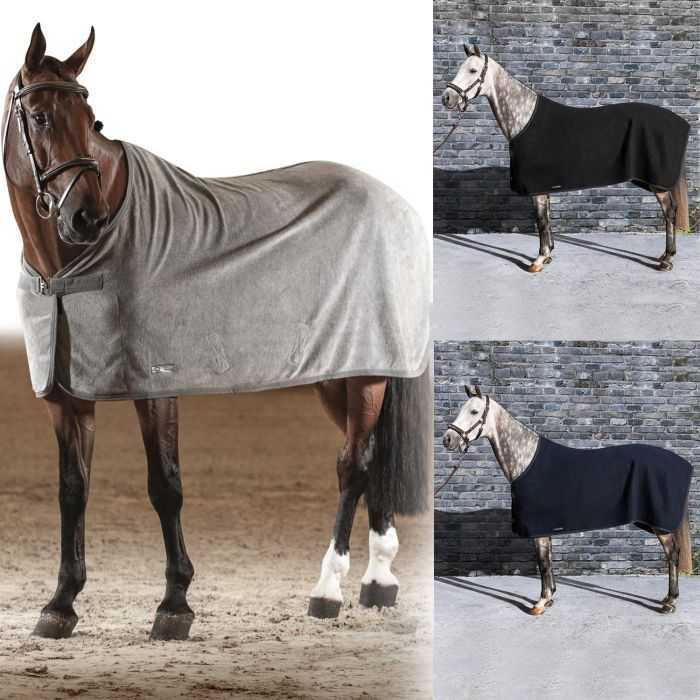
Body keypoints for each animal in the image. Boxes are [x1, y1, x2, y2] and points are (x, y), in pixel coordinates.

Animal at [2, 24, 431, 640]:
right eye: (38, 116)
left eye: (92, 120)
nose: (85, 218)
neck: (67, 268)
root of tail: (401, 206)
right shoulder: (65, 395)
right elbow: (72, 490)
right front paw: (60, 604)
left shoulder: (155, 382)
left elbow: (165, 486)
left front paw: (174, 605)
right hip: (342, 373)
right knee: (370, 456)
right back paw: (379, 582)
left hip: (366, 373)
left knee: (353, 464)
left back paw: (327, 591)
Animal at [440, 44, 690, 273]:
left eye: (472, 70)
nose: (447, 98)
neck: (524, 118)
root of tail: (682, 123)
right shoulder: (544, 186)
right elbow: (548, 219)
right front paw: (549, 255)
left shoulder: (537, 187)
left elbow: (541, 221)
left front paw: (538, 261)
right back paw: (664, 256)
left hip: (657, 183)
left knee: (669, 211)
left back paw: (667, 259)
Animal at [441, 385, 693, 616]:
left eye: (474, 411)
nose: (448, 439)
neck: (526, 460)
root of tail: (683, 464)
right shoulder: (545, 528)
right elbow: (549, 561)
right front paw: (550, 597)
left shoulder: (538, 529)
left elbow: (543, 564)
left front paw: (540, 603)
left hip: (659, 525)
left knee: (672, 553)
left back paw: (669, 602)